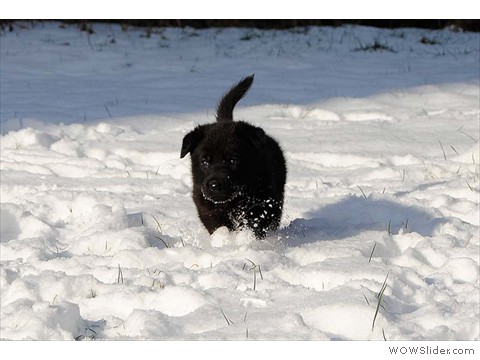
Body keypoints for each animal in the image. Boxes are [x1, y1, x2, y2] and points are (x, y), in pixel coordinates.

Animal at [180, 75, 284, 239]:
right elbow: (217, 225)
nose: (214, 185)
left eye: (233, 161)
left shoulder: (266, 201)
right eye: (204, 162)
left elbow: (257, 221)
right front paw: (224, 238)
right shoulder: (204, 205)